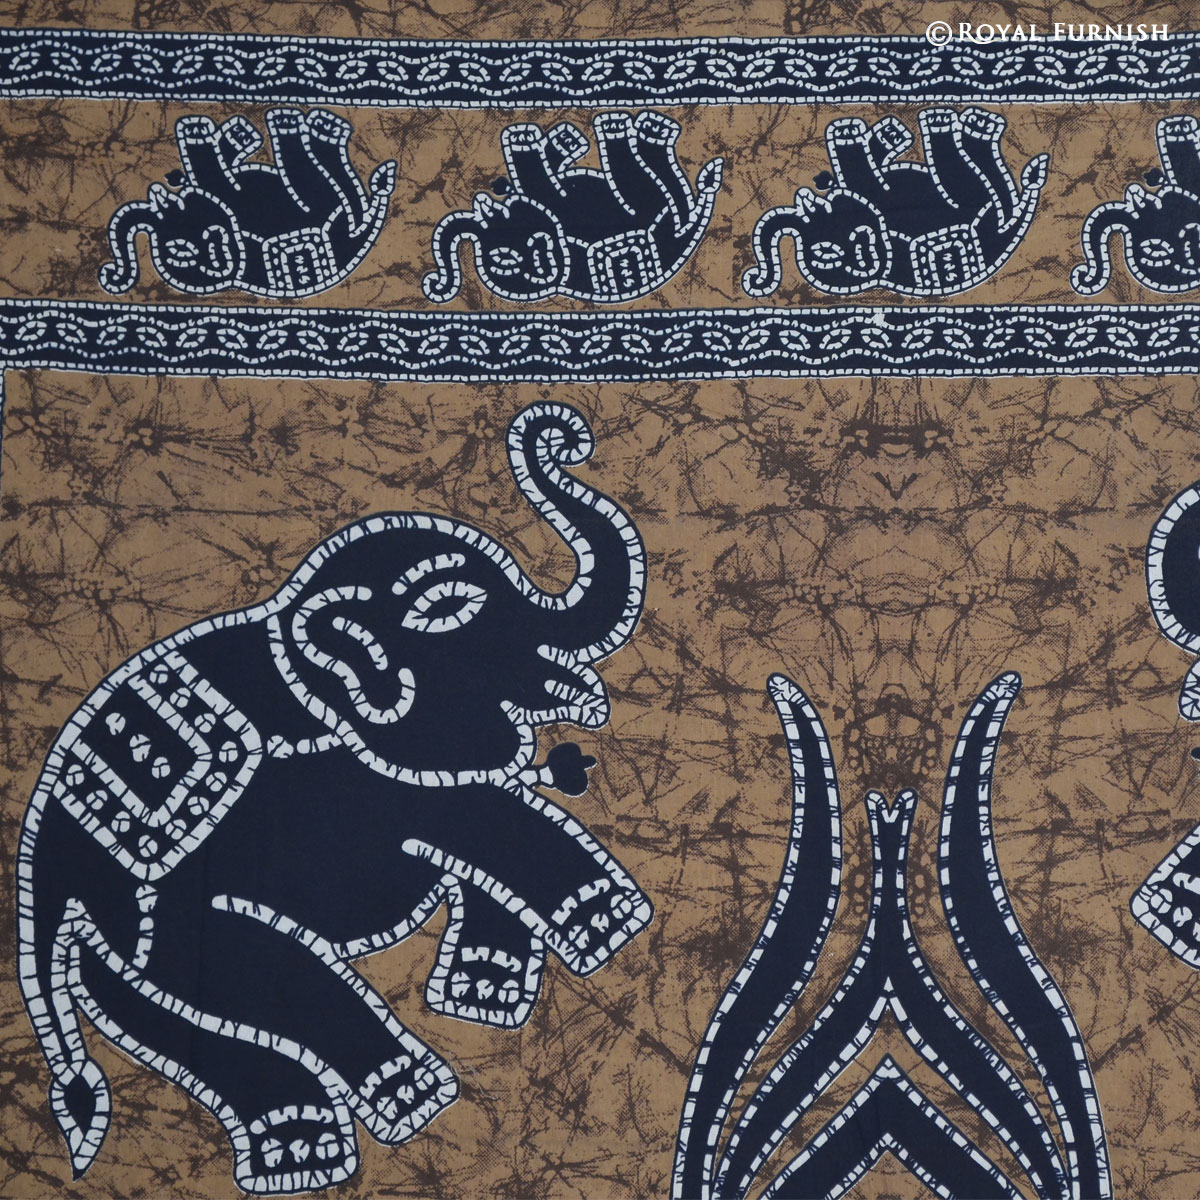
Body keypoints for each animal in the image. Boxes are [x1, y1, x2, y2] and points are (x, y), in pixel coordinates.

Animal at [17, 401, 651, 1194]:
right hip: (147, 928)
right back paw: (408, 1106)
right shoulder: (342, 769)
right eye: (455, 607)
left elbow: (487, 826)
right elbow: (484, 817)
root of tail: (42, 887)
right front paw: (613, 931)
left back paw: (310, 1155)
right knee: (256, 987)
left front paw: (485, 997)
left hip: (108, 953)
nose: (568, 438)